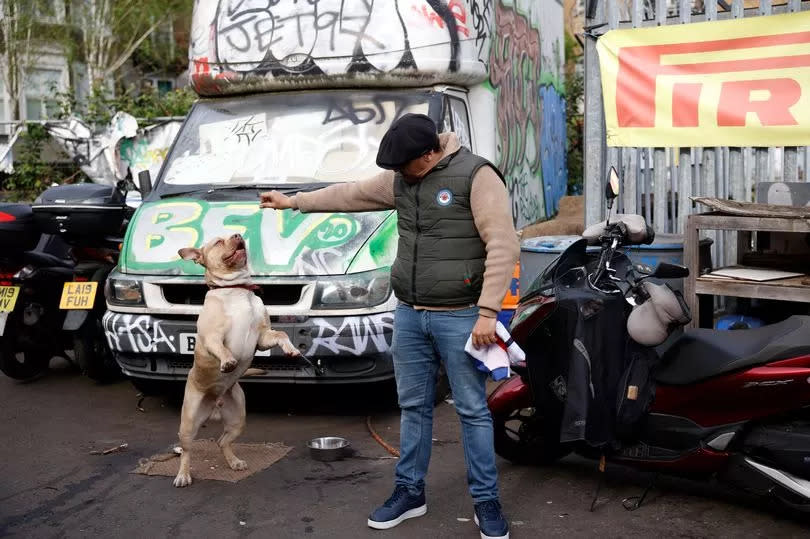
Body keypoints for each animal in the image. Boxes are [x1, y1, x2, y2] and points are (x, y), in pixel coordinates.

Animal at [174, 234, 300, 488]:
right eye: (218, 242)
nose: (238, 235)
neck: (235, 290)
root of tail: (214, 405)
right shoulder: (213, 336)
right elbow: (222, 349)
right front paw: (228, 362)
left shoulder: (263, 336)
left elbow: (281, 334)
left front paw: (290, 349)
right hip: (189, 423)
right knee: (186, 450)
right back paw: (183, 475)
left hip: (237, 419)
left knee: (222, 441)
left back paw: (234, 462)